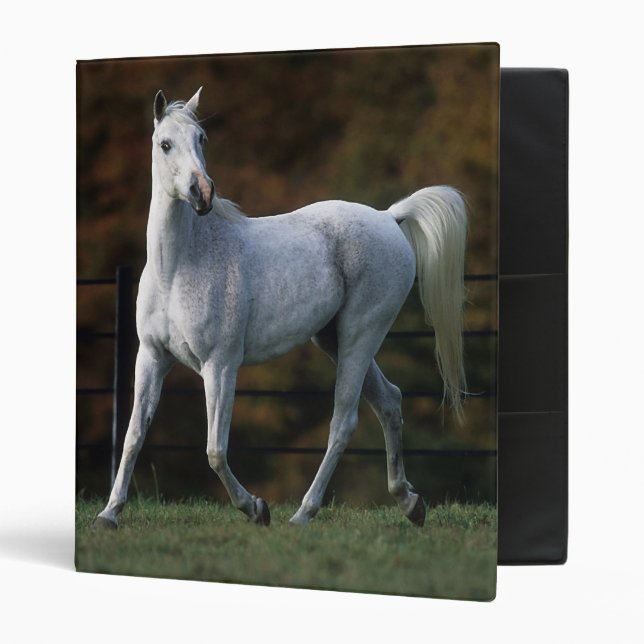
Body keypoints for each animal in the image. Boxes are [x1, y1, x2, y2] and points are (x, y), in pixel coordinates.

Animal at [94, 87, 467, 529]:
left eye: (202, 139)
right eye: (164, 144)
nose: (203, 193)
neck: (180, 265)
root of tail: (389, 217)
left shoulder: (220, 366)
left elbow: (215, 450)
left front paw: (256, 508)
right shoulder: (152, 358)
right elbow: (134, 435)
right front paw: (109, 514)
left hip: (360, 335)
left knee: (343, 421)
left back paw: (303, 514)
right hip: (333, 339)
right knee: (389, 401)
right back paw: (410, 504)